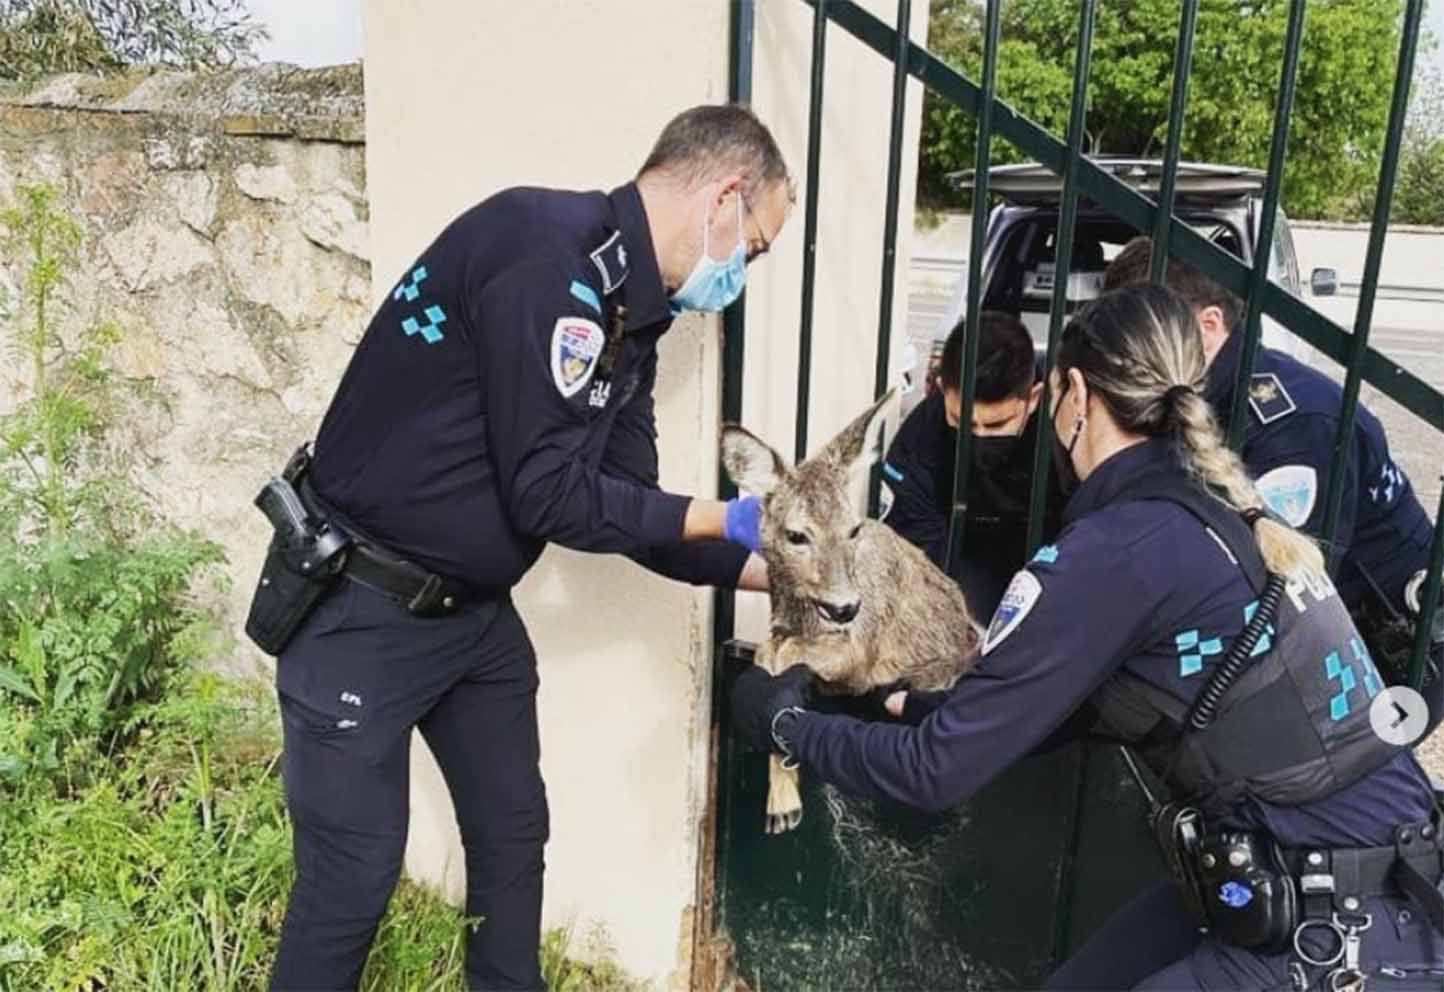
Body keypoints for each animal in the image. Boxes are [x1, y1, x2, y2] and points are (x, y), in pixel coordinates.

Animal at [722, 392, 981, 831]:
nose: (844, 606)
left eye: (854, 529)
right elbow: (768, 651)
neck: (802, 615)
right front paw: (782, 800)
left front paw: (783, 802)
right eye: (796, 535)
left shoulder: (862, 651)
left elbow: (786, 655)